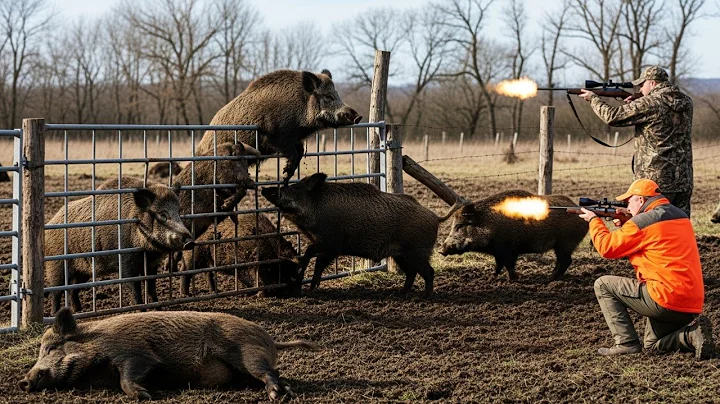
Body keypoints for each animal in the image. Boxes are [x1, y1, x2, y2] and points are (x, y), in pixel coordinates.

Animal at [19, 308, 316, 400]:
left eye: (51, 348)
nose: (24, 381)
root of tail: (271, 340)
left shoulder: (135, 352)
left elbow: (129, 376)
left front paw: (146, 395)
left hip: (247, 352)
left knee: (269, 372)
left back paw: (277, 394)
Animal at [44, 177, 194, 314]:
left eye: (179, 212)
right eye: (162, 215)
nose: (190, 241)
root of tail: (50, 222)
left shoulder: (151, 265)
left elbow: (151, 288)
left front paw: (158, 309)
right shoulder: (126, 262)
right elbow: (135, 291)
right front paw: (142, 312)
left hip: (83, 271)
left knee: (72, 290)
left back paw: (78, 310)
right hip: (57, 265)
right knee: (56, 291)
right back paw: (55, 313)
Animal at [196, 69, 361, 184]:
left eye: (337, 94)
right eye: (328, 96)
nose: (358, 116)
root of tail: (199, 149)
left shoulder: (295, 138)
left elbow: (300, 151)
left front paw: (286, 176)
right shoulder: (272, 137)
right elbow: (293, 153)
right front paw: (285, 176)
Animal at [261, 172, 458, 296]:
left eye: (294, 188)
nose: (264, 189)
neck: (315, 209)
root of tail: (436, 217)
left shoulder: (332, 244)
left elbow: (315, 257)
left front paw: (310, 285)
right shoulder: (324, 243)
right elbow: (312, 255)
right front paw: (307, 282)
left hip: (417, 252)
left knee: (428, 272)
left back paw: (426, 296)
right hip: (401, 255)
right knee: (411, 273)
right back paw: (401, 293)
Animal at [439, 189, 589, 281]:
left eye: (460, 225)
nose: (441, 250)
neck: (490, 224)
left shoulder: (508, 249)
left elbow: (508, 264)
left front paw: (513, 279)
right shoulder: (498, 251)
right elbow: (498, 265)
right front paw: (492, 278)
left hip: (565, 243)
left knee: (566, 261)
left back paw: (550, 279)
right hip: (561, 245)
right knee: (561, 261)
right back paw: (551, 277)